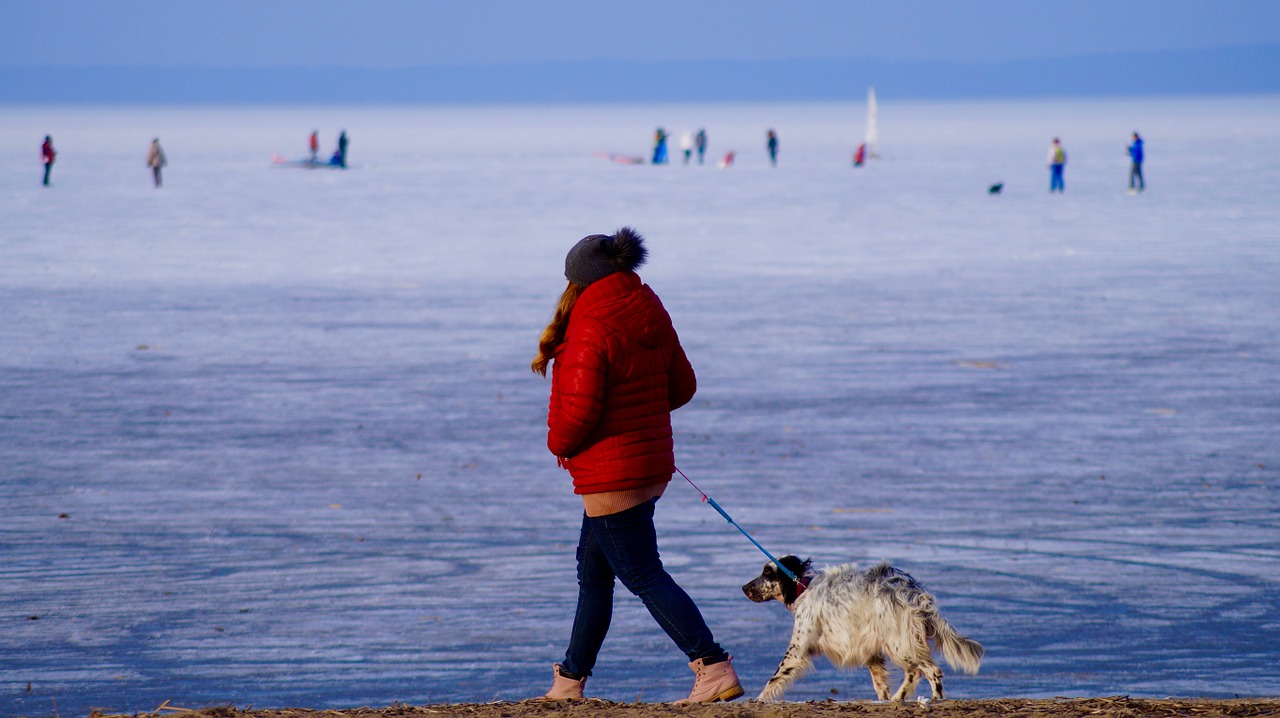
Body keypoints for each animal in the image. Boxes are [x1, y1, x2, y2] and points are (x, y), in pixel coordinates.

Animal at [747, 555, 983, 701]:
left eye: (768, 572)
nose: (744, 587)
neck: (803, 587)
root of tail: (913, 592)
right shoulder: (872, 651)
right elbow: (880, 683)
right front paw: (883, 699)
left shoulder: (798, 648)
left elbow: (774, 678)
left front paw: (758, 700)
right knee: (920, 671)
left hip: (899, 643)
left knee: (927, 670)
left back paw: (916, 698)